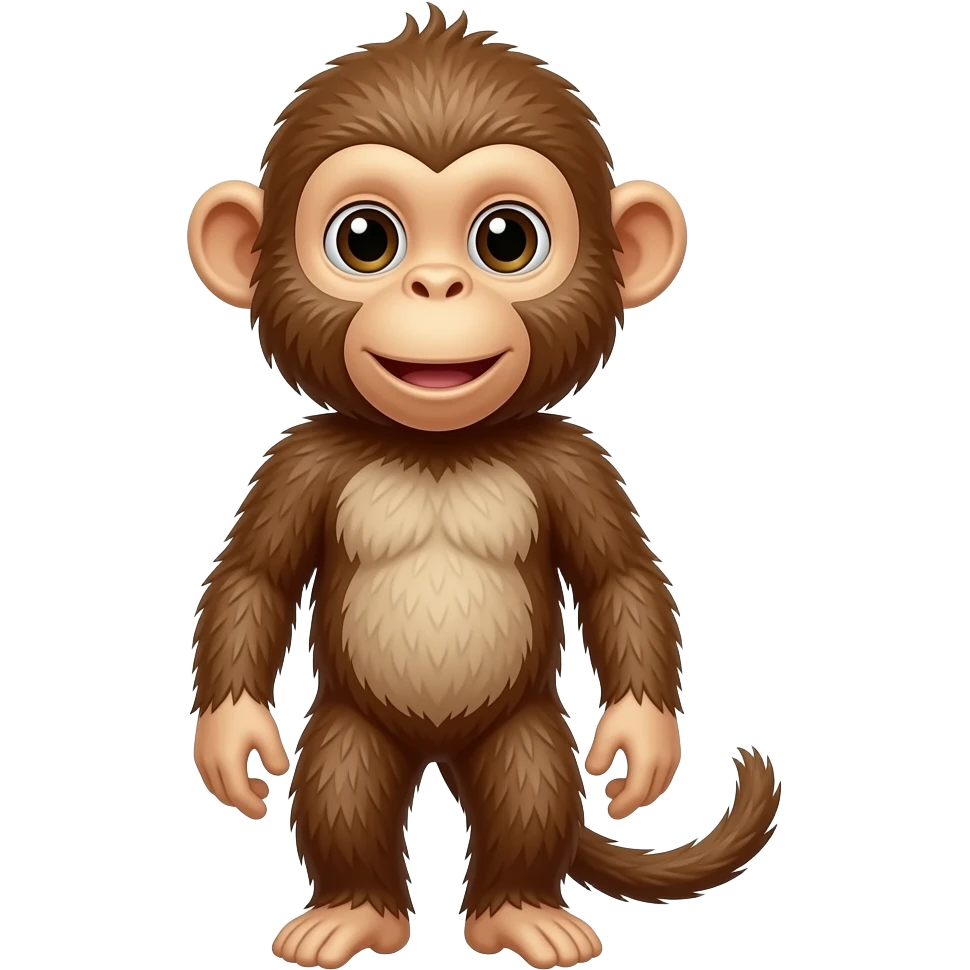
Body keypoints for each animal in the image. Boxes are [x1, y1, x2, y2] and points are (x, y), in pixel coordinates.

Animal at [187, 7, 781, 969]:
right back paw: (355, 912)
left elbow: (620, 578)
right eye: (365, 240)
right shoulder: (299, 461)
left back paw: (520, 912)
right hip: (354, 723)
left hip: (523, 725)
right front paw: (232, 737)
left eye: (507, 239)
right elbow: (253, 579)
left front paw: (641, 740)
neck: (440, 449)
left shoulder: (574, 460)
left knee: (527, 783)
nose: (438, 283)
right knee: (343, 780)